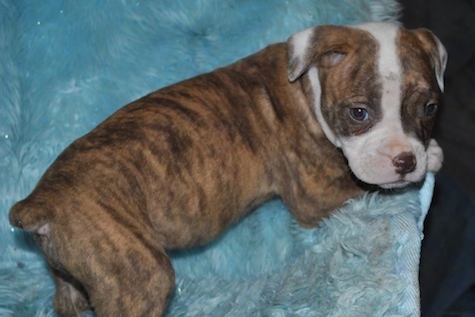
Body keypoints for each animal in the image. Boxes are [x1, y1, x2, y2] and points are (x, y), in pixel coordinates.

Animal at [8, 21, 446, 314]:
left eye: (429, 108)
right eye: (359, 113)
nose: (405, 160)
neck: (309, 85)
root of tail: (40, 203)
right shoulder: (315, 197)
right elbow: (365, 186)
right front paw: (431, 158)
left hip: (73, 272)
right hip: (138, 276)